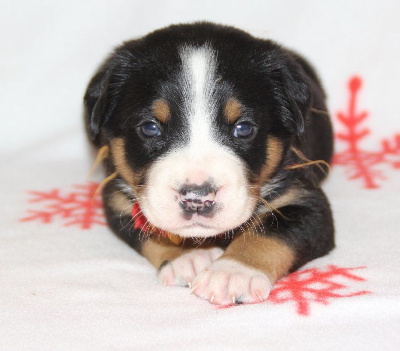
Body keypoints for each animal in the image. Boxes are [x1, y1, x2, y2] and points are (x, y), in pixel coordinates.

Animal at [83, 23, 334, 306]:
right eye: (150, 128)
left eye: (243, 128)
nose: (196, 197)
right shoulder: (117, 199)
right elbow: (149, 231)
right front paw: (189, 257)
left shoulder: (306, 202)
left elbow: (272, 232)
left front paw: (233, 272)